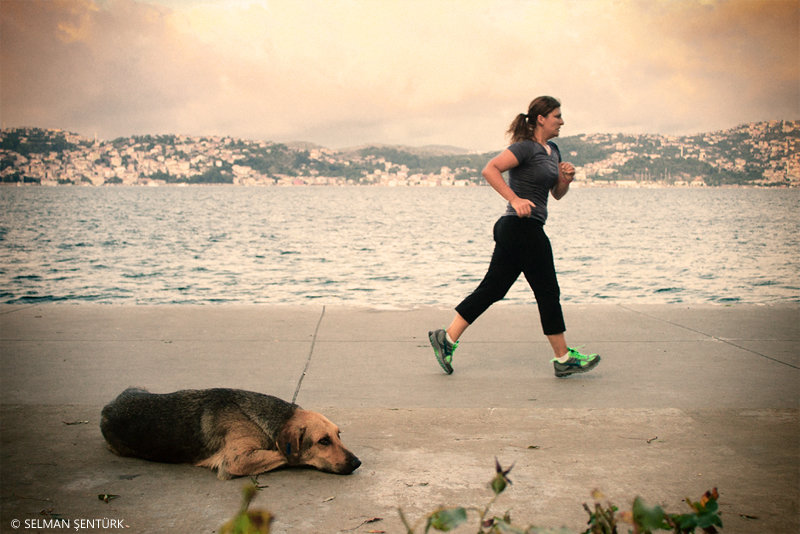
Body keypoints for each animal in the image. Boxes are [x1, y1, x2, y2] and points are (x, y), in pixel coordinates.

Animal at [99, 388, 360, 480]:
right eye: (323, 441)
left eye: (339, 435)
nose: (357, 462)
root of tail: (108, 406)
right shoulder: (235, 461)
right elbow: (286, 455)